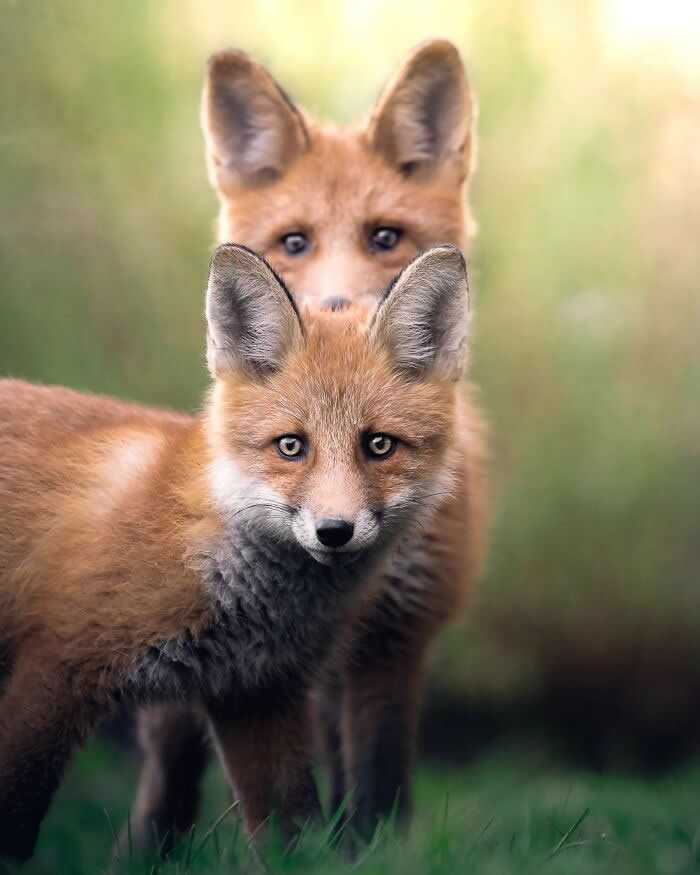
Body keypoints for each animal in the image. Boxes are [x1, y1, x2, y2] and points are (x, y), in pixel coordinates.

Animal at [0, 243, 473, 864]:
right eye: (291, 446)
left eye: (379, 445)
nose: (335, 531)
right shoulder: (54, 669)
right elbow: (14, 817)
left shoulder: (256, 694)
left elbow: (292, 834)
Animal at [127, 38, 486, 853]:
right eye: (294, 243)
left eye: (385, 238)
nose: (333, 318)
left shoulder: (393, 638)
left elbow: (377, 789)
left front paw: (375, 855)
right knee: (165, 777)